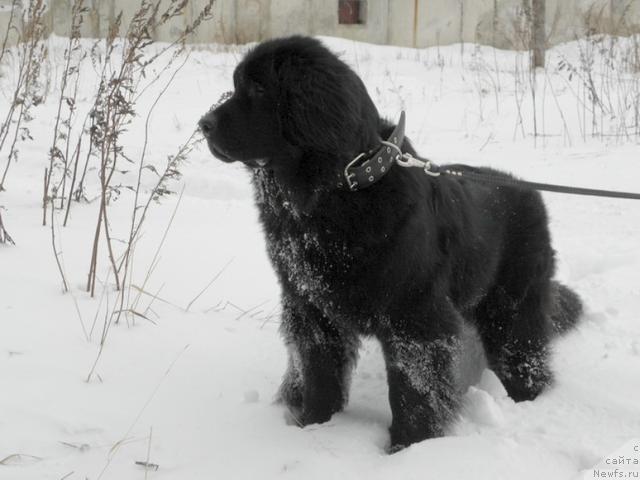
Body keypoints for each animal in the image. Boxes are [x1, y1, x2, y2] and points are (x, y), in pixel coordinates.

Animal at [199, 35, 580, 452]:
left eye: (257, 88)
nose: (203, 124)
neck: (341, 191)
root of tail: (528, 190)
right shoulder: (311, 307)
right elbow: (319, 371)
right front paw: (313, 425)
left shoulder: (414, 315)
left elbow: (411, 391)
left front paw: (409, 447)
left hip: (513, 305)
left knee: (523, 352)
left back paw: (525, 396)